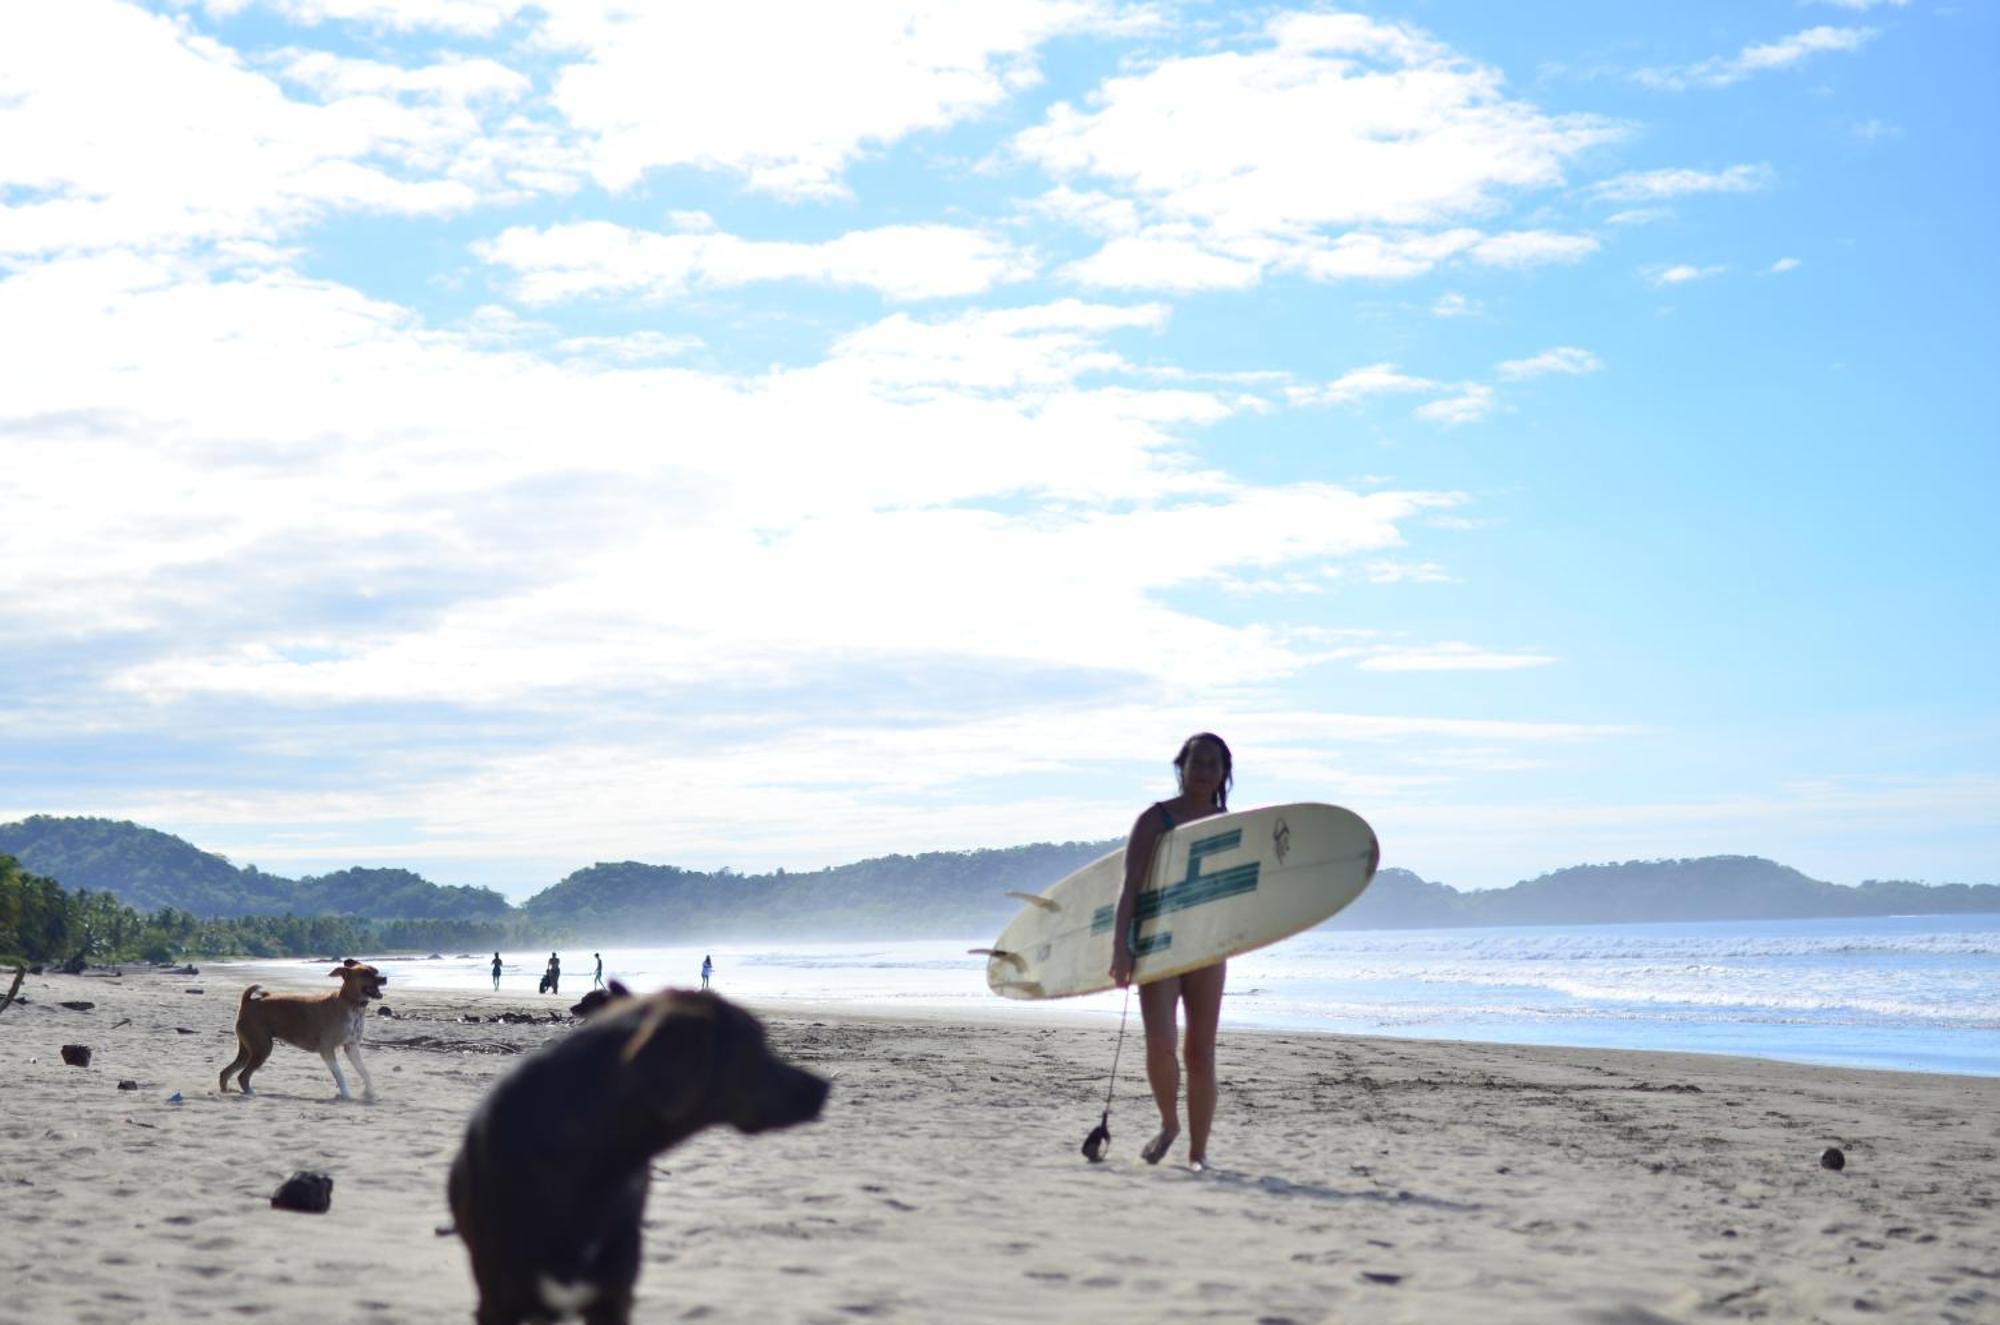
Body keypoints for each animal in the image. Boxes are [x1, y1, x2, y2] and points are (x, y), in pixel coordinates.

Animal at [221, 960, 388, 1104]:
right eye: (365, 973)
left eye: (375, 971)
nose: (384, 978)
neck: (351, 1003)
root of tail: (248, 1002)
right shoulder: (327, 1050)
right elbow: (340, 1075)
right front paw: (346, 1094)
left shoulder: (352, 1048)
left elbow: (364, 1072)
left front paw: (370, 1093)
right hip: (262, 1049)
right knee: (243, 1076)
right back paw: (249, 1092)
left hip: (248, 1051)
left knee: (225, 1072)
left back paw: (225, 1091)